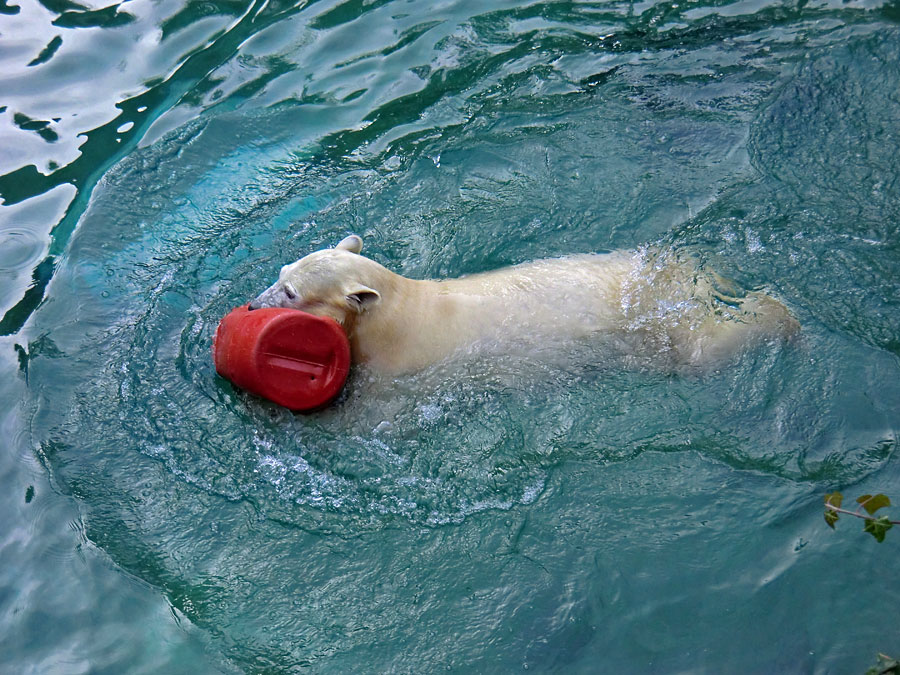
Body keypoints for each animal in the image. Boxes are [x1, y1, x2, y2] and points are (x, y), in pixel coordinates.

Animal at [246, 235, 796, 374]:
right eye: (279, 273)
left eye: (292, 293)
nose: (251, 307)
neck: (403, 311)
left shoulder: (399, 367)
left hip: (663, 330)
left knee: (707, 346)